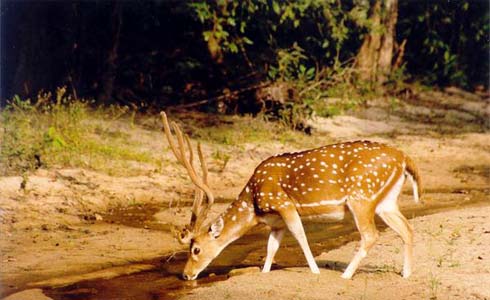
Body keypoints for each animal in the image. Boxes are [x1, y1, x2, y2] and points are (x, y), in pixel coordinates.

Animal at [161, 111, 422, 280]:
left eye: (196, 249)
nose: (186, 275)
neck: (254, 205)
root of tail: (404, 158)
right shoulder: (275, 222)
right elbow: (271, 248)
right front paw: (265, 272)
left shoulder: (284, 204)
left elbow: (300, 235)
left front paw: (315, 271)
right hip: (386, 201)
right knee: (407, 229)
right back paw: (406, 274)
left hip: (362, 197)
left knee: (371, 235)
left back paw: (346, 275)